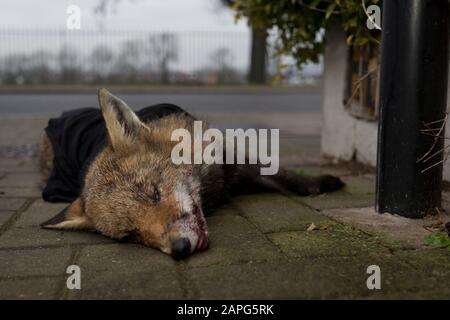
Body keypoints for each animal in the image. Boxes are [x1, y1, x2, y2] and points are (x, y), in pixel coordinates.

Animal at [39, 89, 344, 258]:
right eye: (131, 235)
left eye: (155, 193)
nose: (180, 249)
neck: (213, 186)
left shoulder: (229, 156)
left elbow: (280, 174)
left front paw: (318, 183)